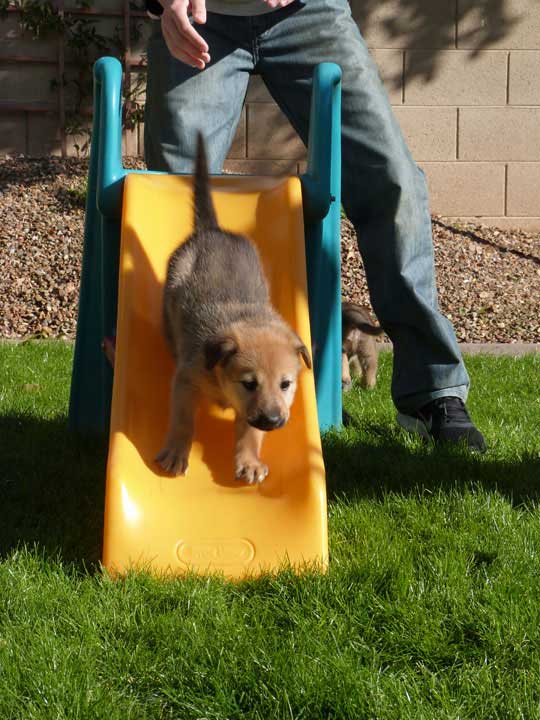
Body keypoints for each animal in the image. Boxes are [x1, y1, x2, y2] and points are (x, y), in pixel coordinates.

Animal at [156, 133, 310, 486]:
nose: (274, 419)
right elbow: (183, 420)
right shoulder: (186, 380)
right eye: (249, 383)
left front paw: (249, 461)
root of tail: (211, 230)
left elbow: (249, 433)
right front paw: (176, 453)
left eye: (285, 384)